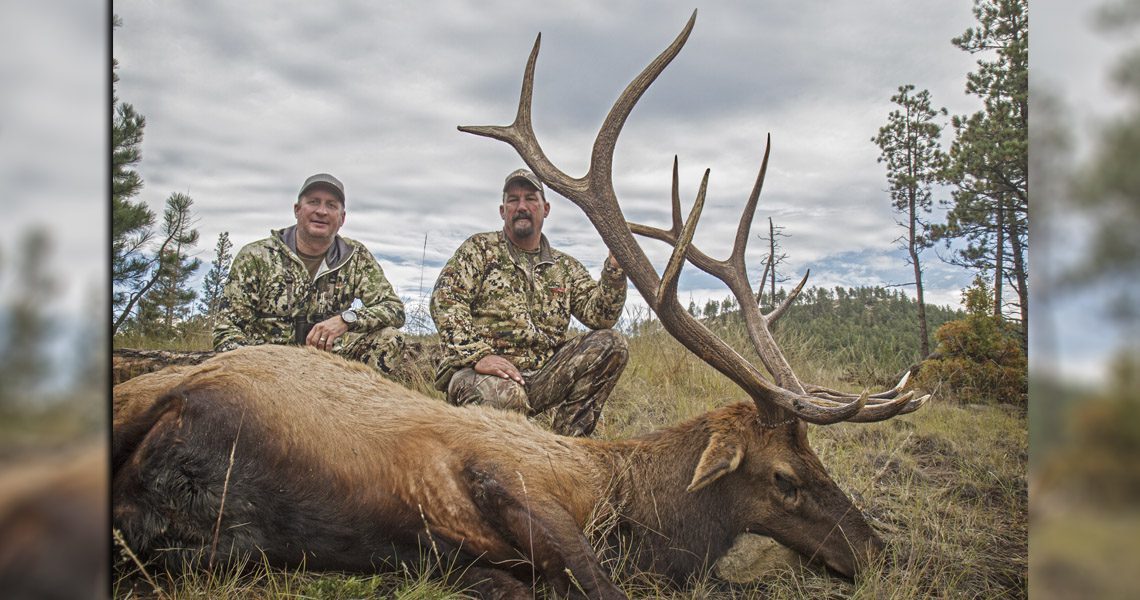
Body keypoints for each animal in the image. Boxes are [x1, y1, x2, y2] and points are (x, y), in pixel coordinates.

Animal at [111, 10, 928, 599]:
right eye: (786, 479)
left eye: (816, 461)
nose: (879, 553)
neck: (636, 506)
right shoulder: (497, 473)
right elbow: (592, 583)